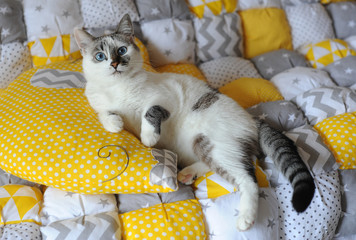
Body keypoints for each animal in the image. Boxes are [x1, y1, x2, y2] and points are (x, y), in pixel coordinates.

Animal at [74, 14, 314, 232]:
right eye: (100, 56)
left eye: (122, 50)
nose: (114, 63)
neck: (119, 88)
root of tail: (253, 120)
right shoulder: (98, 101)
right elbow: (104, 113)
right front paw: (114, 124)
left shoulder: (164, 98)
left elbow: (149, 113)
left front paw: (148, 137)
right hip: (204, 145)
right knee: (222, 165)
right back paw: (187, 173)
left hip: (217, 145)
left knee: (249, 180)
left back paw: (246, 218)